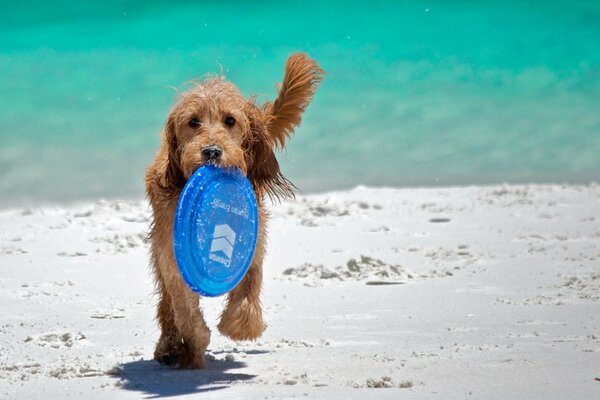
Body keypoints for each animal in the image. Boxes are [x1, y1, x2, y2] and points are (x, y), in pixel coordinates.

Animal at [144, 53, 324, 368]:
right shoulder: (172, 255)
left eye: (230, 120)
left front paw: (239, 326)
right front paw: (195, 342)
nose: (212, 151)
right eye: (193, 122)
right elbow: (183, 306)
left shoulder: (254, 243)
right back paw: (169, 346)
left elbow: (249, 287)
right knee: (166, 303)